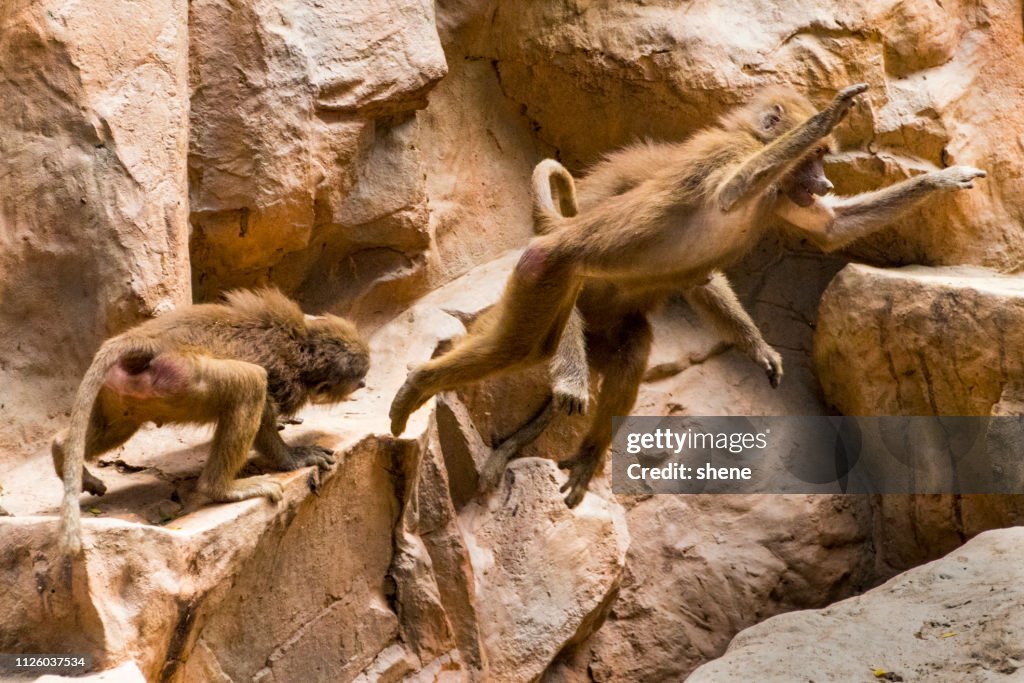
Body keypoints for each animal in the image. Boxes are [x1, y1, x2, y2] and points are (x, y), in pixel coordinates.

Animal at [53, 288, 370, 555]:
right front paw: (292, 458)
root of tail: (149, 340)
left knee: (118, 426)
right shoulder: (287, 380)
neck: (305, 342)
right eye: (358, 379)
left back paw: (61, 449)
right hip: (180, 376)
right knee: (249, 383)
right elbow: (265, 412)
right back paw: (220, 489)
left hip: (123, 387)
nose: (365, 383)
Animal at [390, 82, 986, 506]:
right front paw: (831, 111)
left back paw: (583, 455)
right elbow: (729, 192)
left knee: (624, 348)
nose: (824, 183)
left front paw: (942, 180)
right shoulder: (727, 155)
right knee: (527, 343)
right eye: (815, 155)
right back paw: (421, 386)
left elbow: (831, 229)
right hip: (546, 269)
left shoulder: (780, 192)